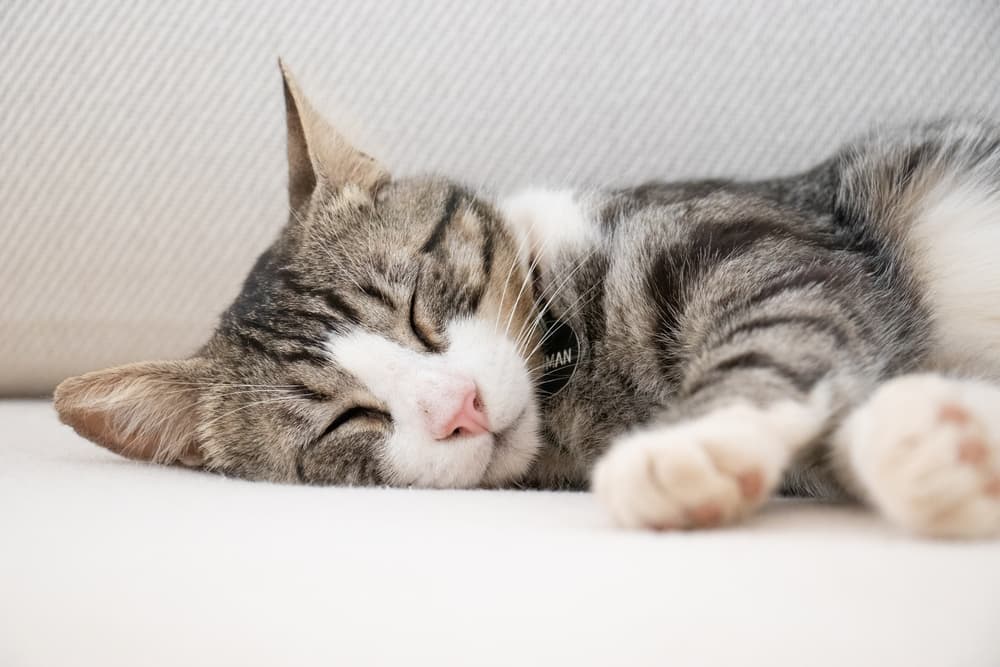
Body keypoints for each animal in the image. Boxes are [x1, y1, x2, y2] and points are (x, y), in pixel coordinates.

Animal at [52, 62, 1000, 536]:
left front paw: (689, 443)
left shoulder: (764, 237)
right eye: (346, 419)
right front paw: (938, 440)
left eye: (418, 308)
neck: (573, 364)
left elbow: (785, 325)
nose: (461, 407)